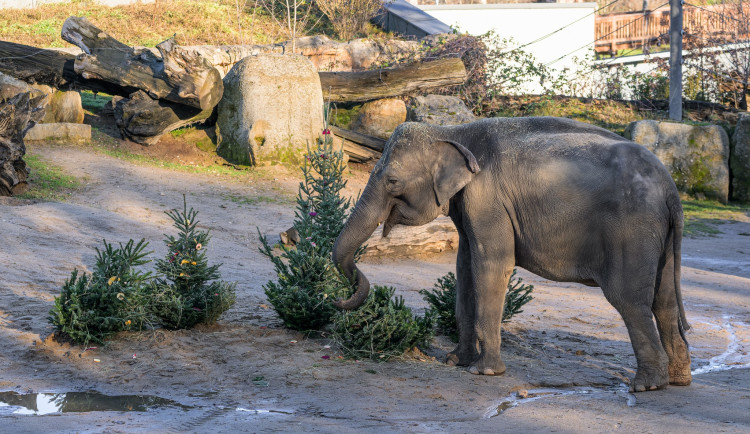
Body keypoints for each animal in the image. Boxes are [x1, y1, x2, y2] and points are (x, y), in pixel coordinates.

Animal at [332, 116, 696, 394]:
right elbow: (465, 267)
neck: (452, 132)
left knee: (629, 299)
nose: (340, 299)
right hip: (658, 235)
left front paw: (484, 372)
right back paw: (678, 380)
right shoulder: (469, 204)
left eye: (393, 181)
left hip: (632, 230)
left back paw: (647, 386)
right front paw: (455, 361)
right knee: (663, 300)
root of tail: (671, 188)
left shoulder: (487, 198)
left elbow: (491, 265)